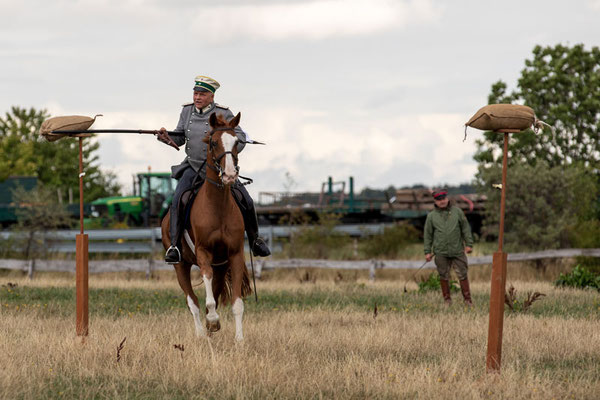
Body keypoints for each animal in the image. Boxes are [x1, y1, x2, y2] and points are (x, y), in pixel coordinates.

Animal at [159, 111, 251, 340]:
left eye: (237, 142)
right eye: (213, 142)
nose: (229, 175)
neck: (218, 207)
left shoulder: (234, 255)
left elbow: (236, 303)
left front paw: (239, 340)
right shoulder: (203, 253)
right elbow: (207, 300)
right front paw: (212, 321)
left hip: (221, 266)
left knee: (214, 295)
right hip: (180, 266)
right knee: (192, 301)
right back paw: (202, 333)